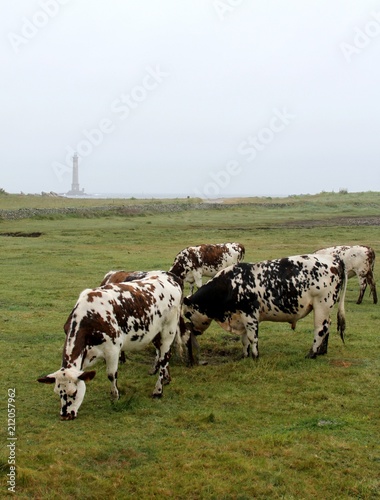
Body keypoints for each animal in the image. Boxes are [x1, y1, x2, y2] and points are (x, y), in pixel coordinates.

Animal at [37, 272, 183, 420]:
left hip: (168, 331)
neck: (89, 317)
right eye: (58, 392)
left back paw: (158, 391)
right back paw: (166, 378)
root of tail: (169, 275)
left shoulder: (113, 349)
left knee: (164, 357)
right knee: (162, 355)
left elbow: (111, 375)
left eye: (74, 392)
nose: (65, 415)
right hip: (156, 334)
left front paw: (115, 396)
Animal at [182, 254, 348, 360]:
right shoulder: (241, 317)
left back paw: (312, 354)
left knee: (320, 329)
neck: (231, 285)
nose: (194, 331)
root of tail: (334, 260)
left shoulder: (249, 316)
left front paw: (255, 356)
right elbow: (244, 339)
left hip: (322, 305)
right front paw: (245, 355)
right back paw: (322, 351)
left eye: (188, 314)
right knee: (328, 325)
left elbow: (252, 337)